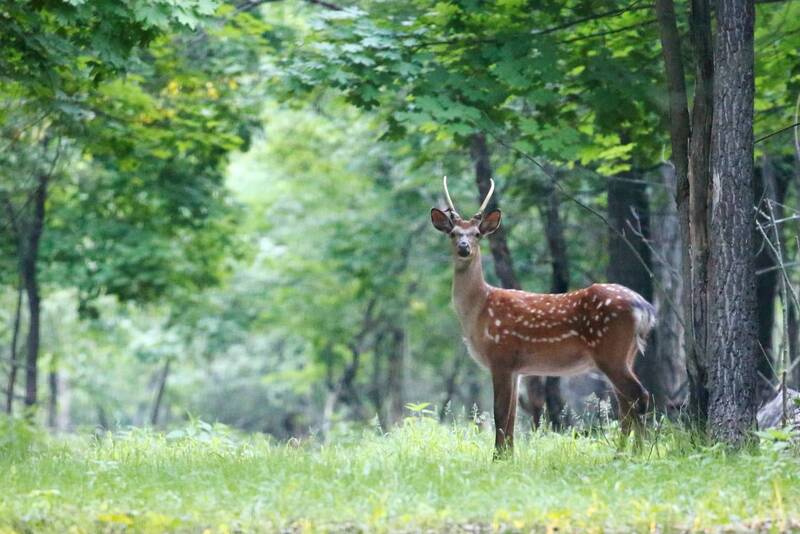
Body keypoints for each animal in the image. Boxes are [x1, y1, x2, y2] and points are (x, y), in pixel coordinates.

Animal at [430, 176, 656, 457]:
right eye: (453, 233)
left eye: (477, 234)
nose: (464, 247)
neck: (478, 311)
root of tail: (644, 307)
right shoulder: (517, 368)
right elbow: (512, 417)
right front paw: (508, 457)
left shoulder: (501, 355)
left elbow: (499, 413)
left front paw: (496, 458)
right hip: (629, 354)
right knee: (626, 404)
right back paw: (624, 453)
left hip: (610, 351)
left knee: (638, 396)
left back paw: (638, 453)